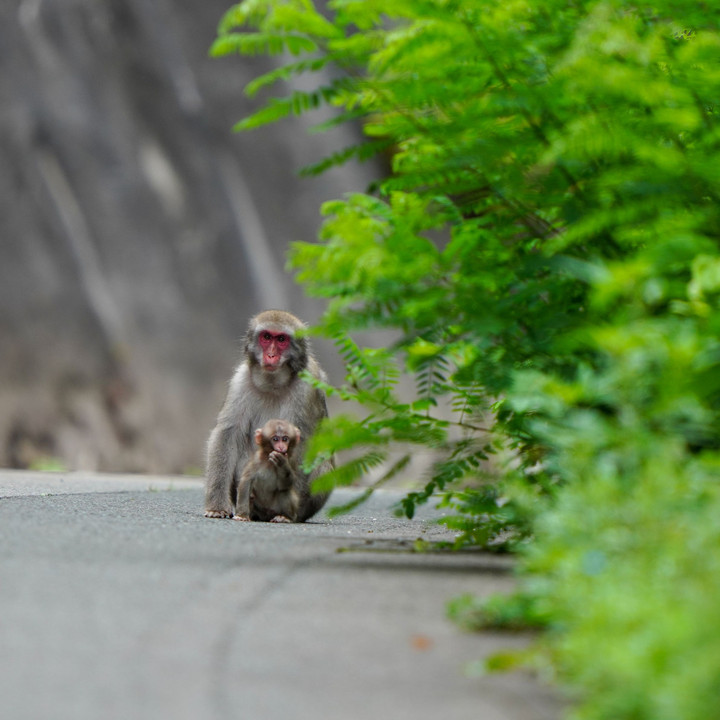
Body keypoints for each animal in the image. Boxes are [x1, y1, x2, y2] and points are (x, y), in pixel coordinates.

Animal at [202, 310, 332, 516]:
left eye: (281, 339)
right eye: (266, 337)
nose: (270, 355)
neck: (273, 383)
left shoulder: (307, 387)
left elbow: (304, 440)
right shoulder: (240, 380)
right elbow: (228, 433)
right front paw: (217, 507)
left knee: (322, 462)